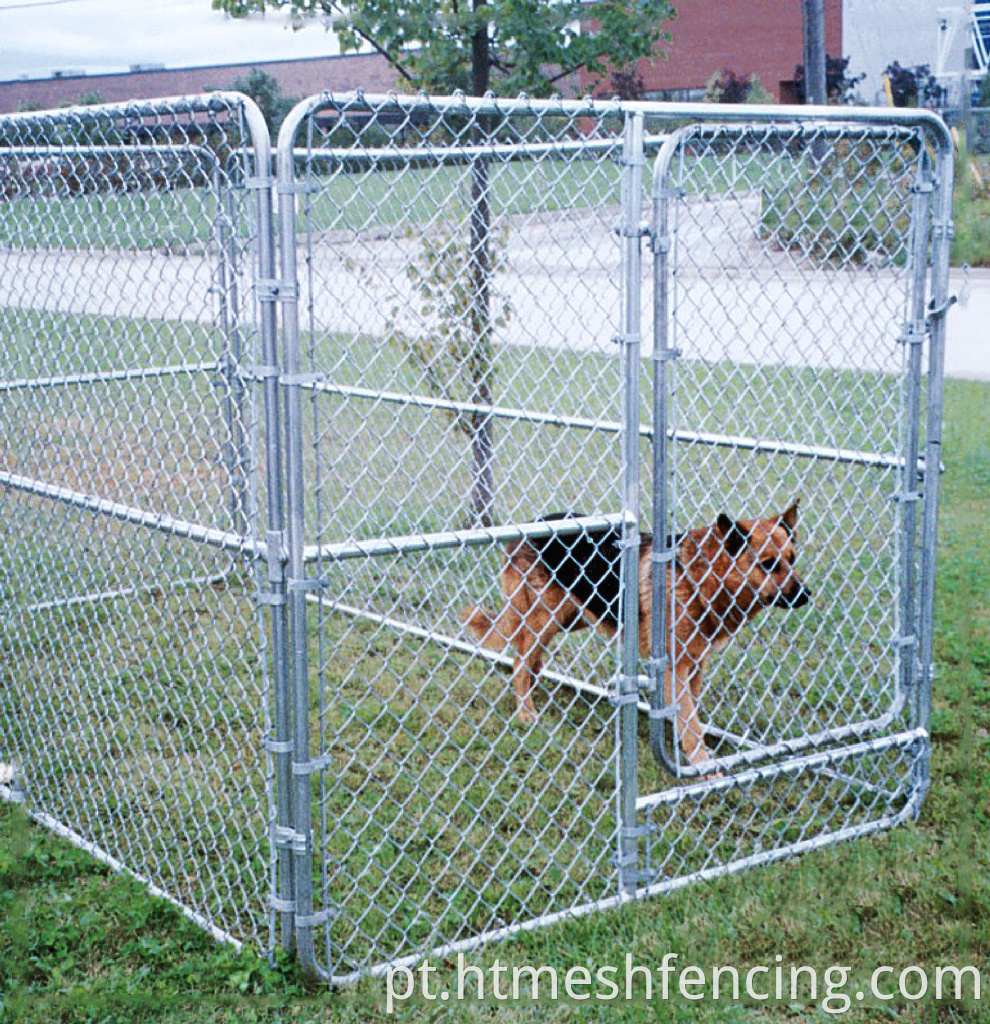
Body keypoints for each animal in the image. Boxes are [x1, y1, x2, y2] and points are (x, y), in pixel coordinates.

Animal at [464, 503, 814, 770]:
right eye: (767, 565)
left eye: (792, 560)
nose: (807, 595)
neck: (702, 577)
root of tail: (531, 526)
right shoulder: (676, 667)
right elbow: (690, 721)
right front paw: (703, 766)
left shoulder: (695, 664)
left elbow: (688, 716)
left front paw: (685, 751)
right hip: (544, 618)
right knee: (520, 662)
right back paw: (525, 711)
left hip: (572, 617)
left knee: (530, 660)